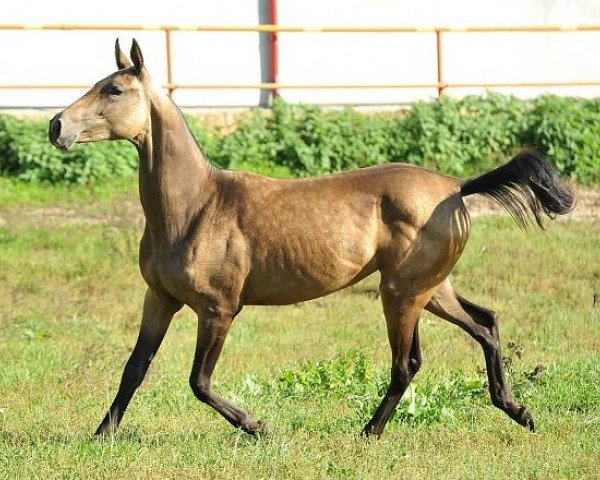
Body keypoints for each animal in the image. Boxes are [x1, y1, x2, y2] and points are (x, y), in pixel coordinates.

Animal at [49, 40, 576, 438]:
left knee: (406, 364)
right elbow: (135, 368)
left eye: (114, 88)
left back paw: (370, 432)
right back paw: (518, 411)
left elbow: (199, 380)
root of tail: (455, 187)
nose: (57, 125)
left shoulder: (218, 309)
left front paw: (257, 426)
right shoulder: (159, 297)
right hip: (429, 288)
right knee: (484, 323)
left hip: (401, 293)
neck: (195, 207)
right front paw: (101, 436)